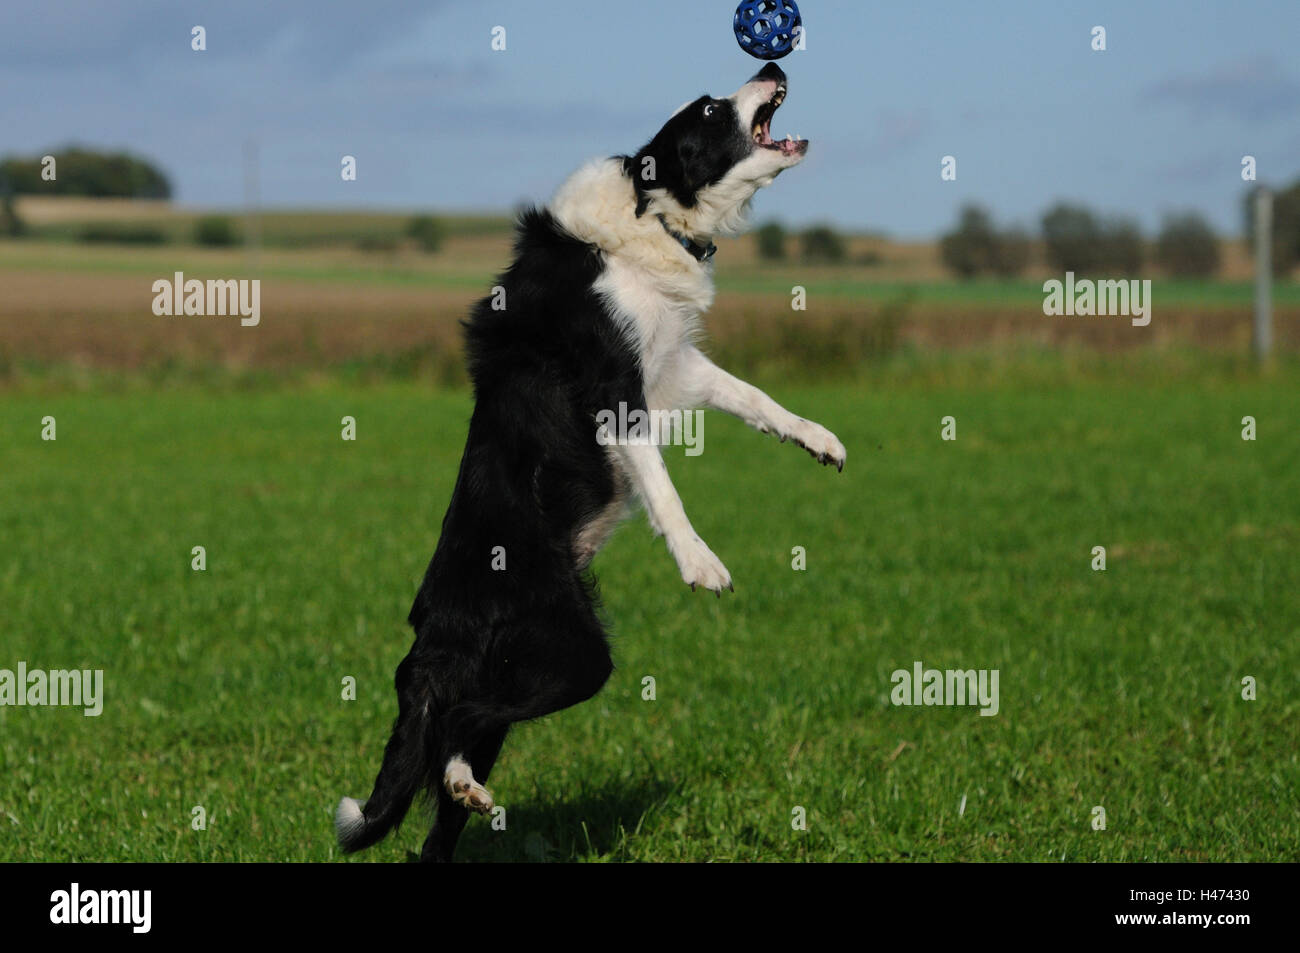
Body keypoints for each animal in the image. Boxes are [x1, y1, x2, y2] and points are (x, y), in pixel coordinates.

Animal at [335, 61, 842, 863]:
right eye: (709, 109)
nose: (771, 66)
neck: (651, 212)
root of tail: (432, 627)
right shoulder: (616, 391)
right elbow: (665, 488)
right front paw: (701, 563)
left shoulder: (676, 362)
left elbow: (755, 396)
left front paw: (818, 439)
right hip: (573, 653)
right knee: (457, 723)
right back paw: (462, 778)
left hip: (523, 676)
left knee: (444, 797)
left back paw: (465, 792)